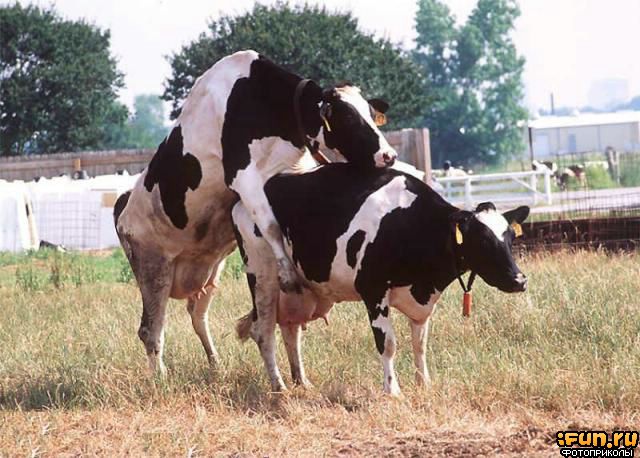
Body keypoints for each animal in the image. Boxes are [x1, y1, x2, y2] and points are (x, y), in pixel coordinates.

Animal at [114, 50, 395, 374]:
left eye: (372, 115)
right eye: (347, 116)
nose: (389, 156)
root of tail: (122, 211)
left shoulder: (292, 172)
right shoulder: (243, 177)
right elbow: (271, 225)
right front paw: (287, 273)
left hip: (209, 272)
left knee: (197, 315)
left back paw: (216, 365)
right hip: (153, 270)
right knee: (151, 329)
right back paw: (160, 378)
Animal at [232, 164, 529, 395]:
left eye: (510, 237)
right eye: (482, 240)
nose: (519, 280)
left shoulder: (420, 301)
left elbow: (419, 344)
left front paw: (424, 383)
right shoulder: (372, 290)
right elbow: (387, 343)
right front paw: (392, 390)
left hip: (297, 290)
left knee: (291, 331)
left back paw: (301, 382)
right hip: (262, 275)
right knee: (263, 332)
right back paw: (278, 386)